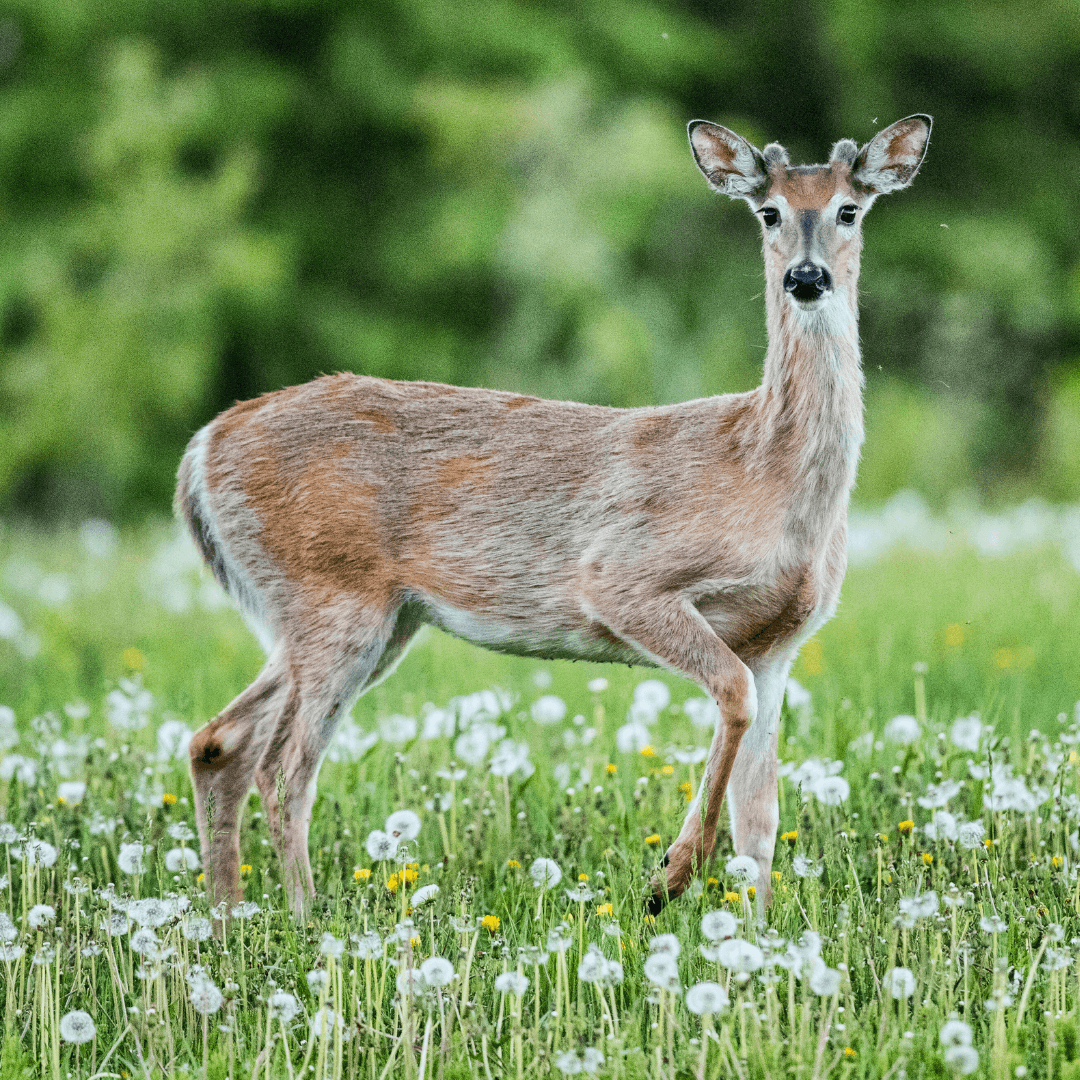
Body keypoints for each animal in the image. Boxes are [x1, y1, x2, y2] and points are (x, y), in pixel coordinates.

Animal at [174, 113, 928, 915]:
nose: (806, 278)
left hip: (362, 618)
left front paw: (756, 933)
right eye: (769, 212)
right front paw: (670, 875)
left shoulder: (778, 643)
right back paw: (305, 918)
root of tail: (203, 447)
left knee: (219, 741)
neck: (766, 473)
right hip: (330, 593)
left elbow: (761, 815)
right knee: (283, 764)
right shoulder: (622, 576)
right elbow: (730, 698)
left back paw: (229, 920)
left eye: (849, 209)